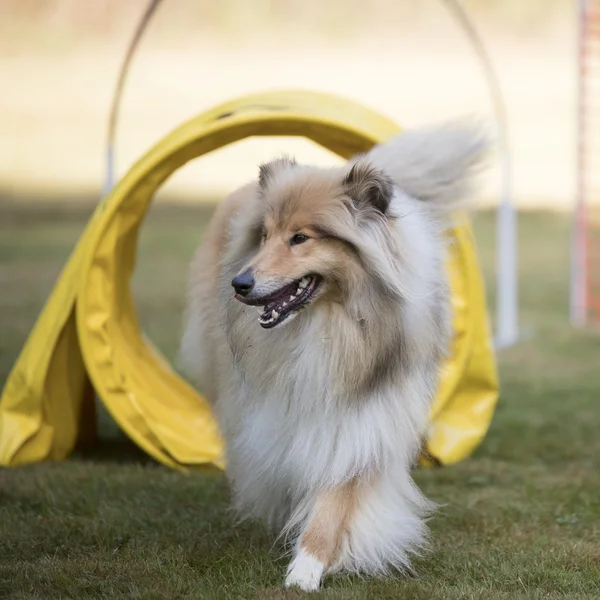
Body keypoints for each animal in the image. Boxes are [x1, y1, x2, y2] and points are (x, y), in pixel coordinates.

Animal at [178, 122, 488, 592]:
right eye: (264, 236)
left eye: (300, 238)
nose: (239, 284)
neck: (325, 325)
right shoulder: (280, 410)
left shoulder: (361, 421)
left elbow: (335, 498)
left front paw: (306, 569)